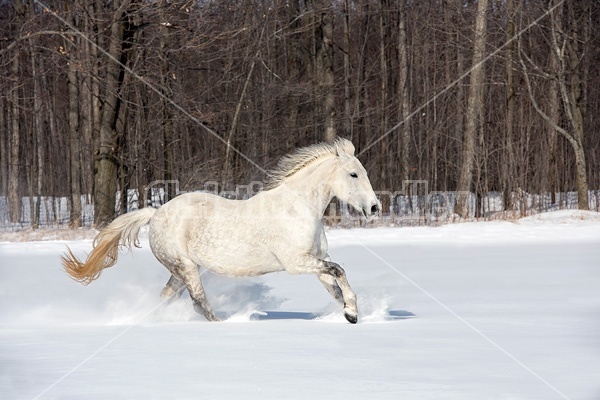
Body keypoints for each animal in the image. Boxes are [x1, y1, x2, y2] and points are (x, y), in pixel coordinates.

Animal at [62, 139, 380, 324]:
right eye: (353, 174)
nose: (375, 207)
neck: (297, 207)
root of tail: (156, 213)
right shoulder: (296, 263)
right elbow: (339, 271)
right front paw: (353, 313)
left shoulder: (315, 260)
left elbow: (336, 285)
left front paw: (351, 313)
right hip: (187, 268)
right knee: (199, 302)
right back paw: (220, 324)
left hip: (180, 272)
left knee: (166, 297)